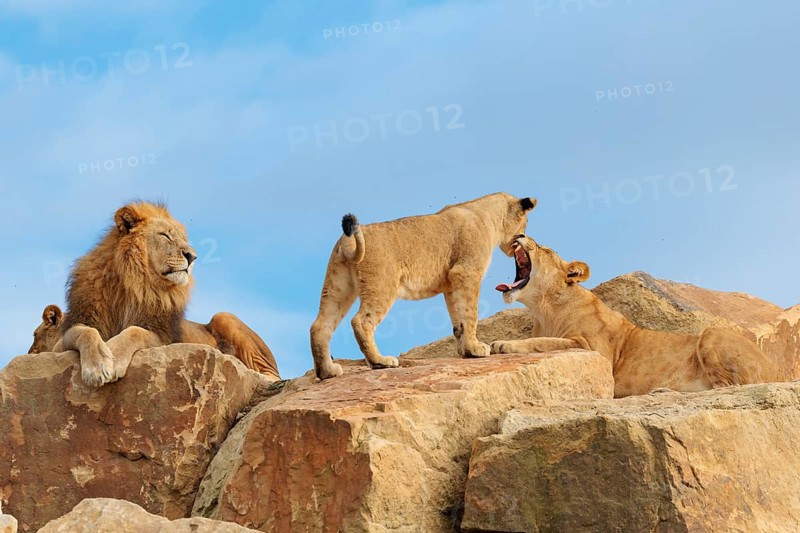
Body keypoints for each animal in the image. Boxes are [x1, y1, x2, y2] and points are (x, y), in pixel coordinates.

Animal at [310, 192, 537, 380]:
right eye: (524, 226)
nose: (522, 239)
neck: (488, 216)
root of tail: (347, 241)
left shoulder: (451, 282)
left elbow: (458, 320)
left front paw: (466, 351)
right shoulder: (467, 272)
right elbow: (470, 314)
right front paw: (475, 348)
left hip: (337, 287)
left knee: (320, 325)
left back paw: (327, 372)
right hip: (382, 286)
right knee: (361, 321)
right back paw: (380, 362)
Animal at [491, 236, 780, 397]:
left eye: (545, 248)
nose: (520, 234)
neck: (544, 309)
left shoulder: (596, 350)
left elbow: (546, 343)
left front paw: (503, 344)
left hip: (712, 334)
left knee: (729, 387)